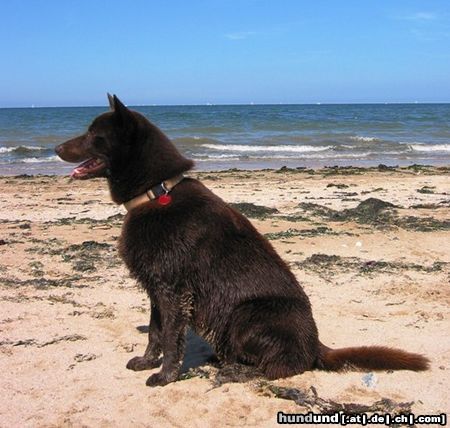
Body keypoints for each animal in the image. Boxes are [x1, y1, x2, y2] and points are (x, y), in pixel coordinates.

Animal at [55, 94, 428, 388]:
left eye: (93, 134)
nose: (55, 148)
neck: (156, 192)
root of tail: (315, 344)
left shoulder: (172, 291)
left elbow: (172, 340)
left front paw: (164, 377)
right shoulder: (155, 291)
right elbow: (155, 332)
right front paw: (148, 362)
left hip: (245, 315)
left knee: (282, 368)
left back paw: (234, 372)